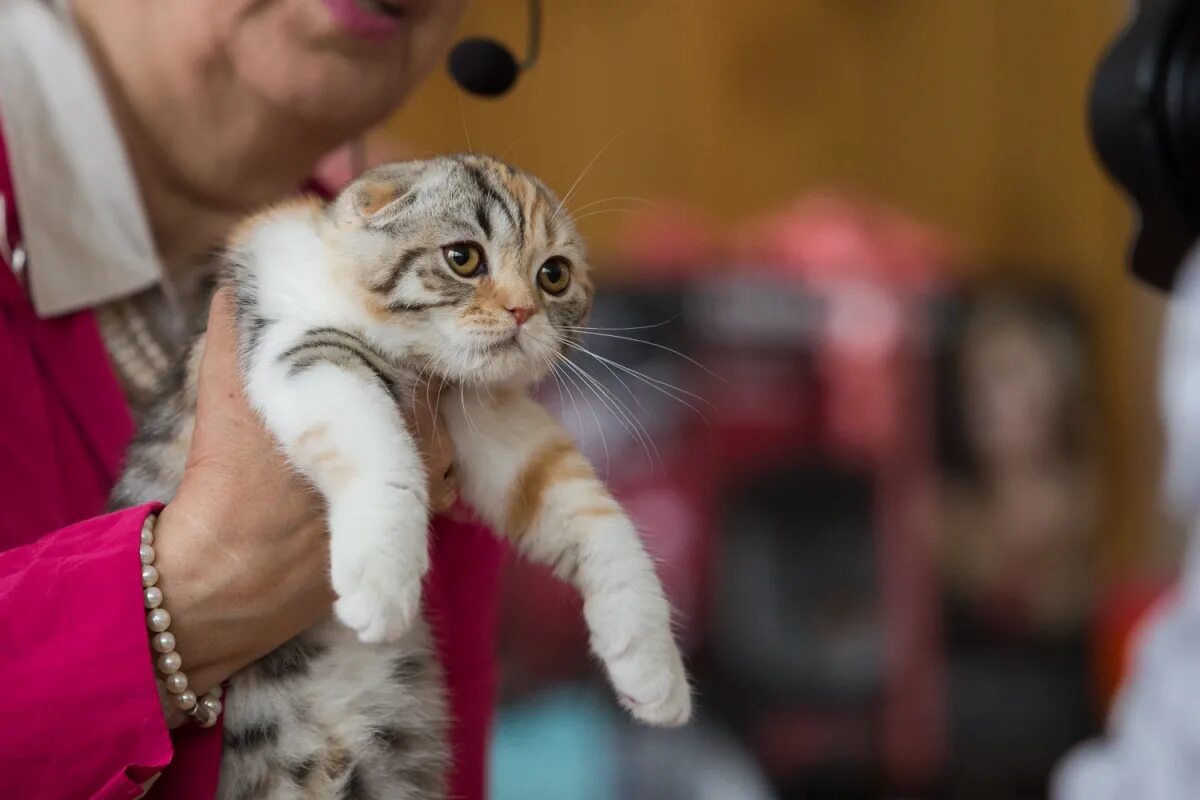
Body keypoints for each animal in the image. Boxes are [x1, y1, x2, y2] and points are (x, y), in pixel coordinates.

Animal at [114, 154, 696, 800]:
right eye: (463, 258)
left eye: (554, 275)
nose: (522, 311)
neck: (413, 355)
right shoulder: (292, 336)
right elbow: (376, 442)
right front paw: (382, 576)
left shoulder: (486, 417)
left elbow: (579, 500)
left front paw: (651, 661)